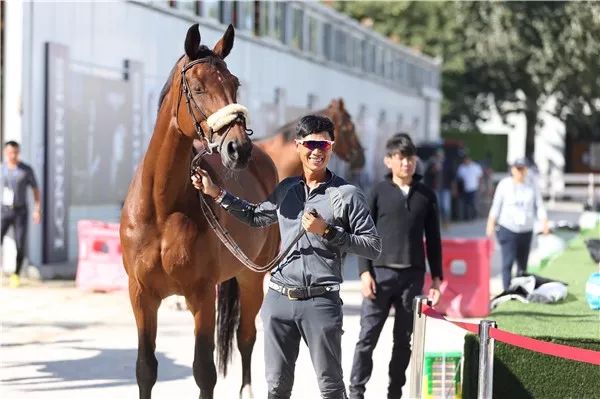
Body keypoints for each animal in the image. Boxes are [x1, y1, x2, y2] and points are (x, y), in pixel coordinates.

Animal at [119, 24, 278, 399]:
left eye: (234, 84)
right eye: (198, 87)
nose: (238, 149)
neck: (161, 209)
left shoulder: (202, 295)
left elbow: (204, 371)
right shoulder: (141, 295)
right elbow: (145, 369)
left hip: (252, 278)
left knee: (246, 337)